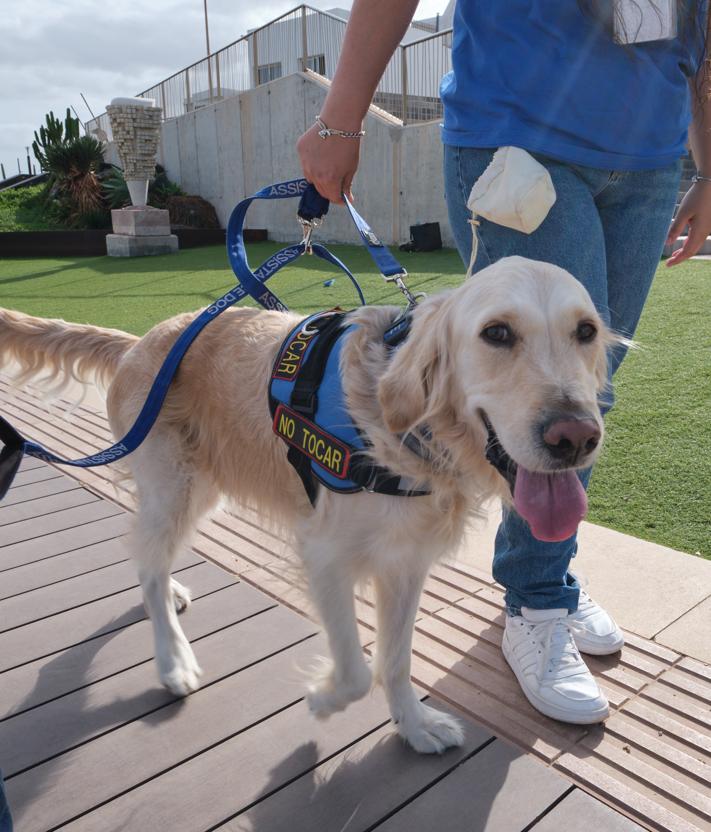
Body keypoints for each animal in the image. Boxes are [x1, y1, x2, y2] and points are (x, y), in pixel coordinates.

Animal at [0, 258, 616, 752]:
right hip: (173, 486)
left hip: (200, 489)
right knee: (148, 562)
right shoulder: (325, 555)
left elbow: (395, 660)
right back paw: (173, 660)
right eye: (497, 333)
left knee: (151, 557)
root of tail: (135, 344)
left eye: (586, 331)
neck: (404, 435)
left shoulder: (405, 563)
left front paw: (415, 728)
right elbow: (357, 672)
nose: (576, 437)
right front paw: (322, 701)